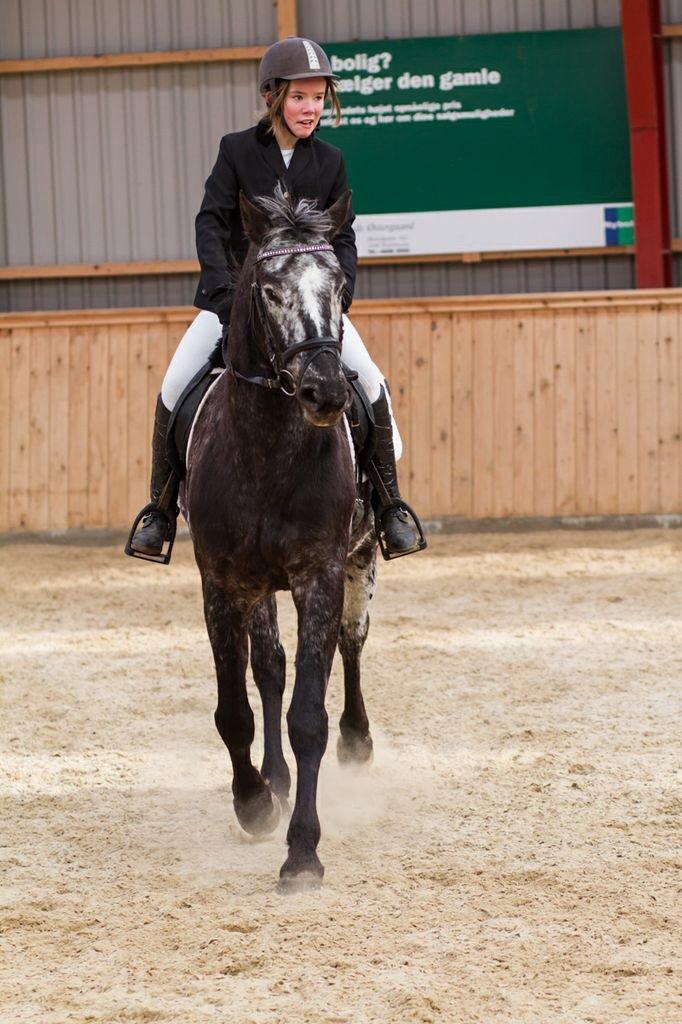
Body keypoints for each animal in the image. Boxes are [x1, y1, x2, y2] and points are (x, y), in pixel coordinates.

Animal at [186, 184, 374, 888]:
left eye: (340, 285)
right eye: (267, 288)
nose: (325, 391)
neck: (267, 447)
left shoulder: (319, 574)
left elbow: (308, 715)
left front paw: (302, 852)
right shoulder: (221, 582)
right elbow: (235, 710)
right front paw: (254, 803)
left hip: (360, 562)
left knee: (350, 645)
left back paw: (357, 739)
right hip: (256, 587)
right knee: (267, 668)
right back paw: (273, 780)